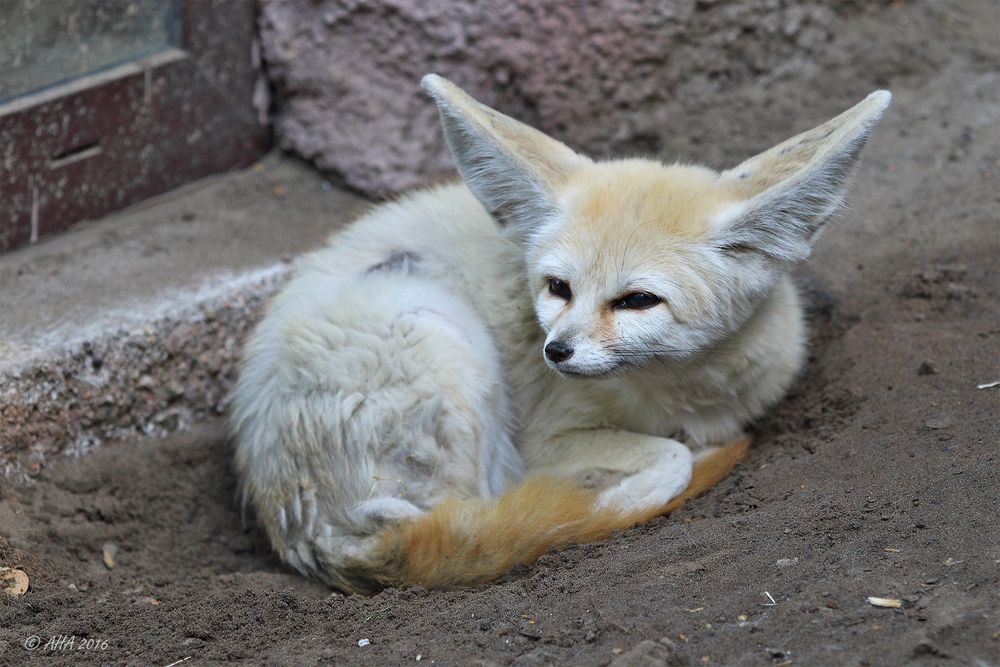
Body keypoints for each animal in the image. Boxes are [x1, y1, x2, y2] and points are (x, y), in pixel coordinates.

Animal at [234, 75, 892, 592]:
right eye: (558, 288)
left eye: (636, 301)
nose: (555, 352)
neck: (682, 387)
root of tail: (303, 529)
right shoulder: (543, 440)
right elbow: (672, 456)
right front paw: (617, 500)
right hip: (442, 329)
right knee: (473, 514)